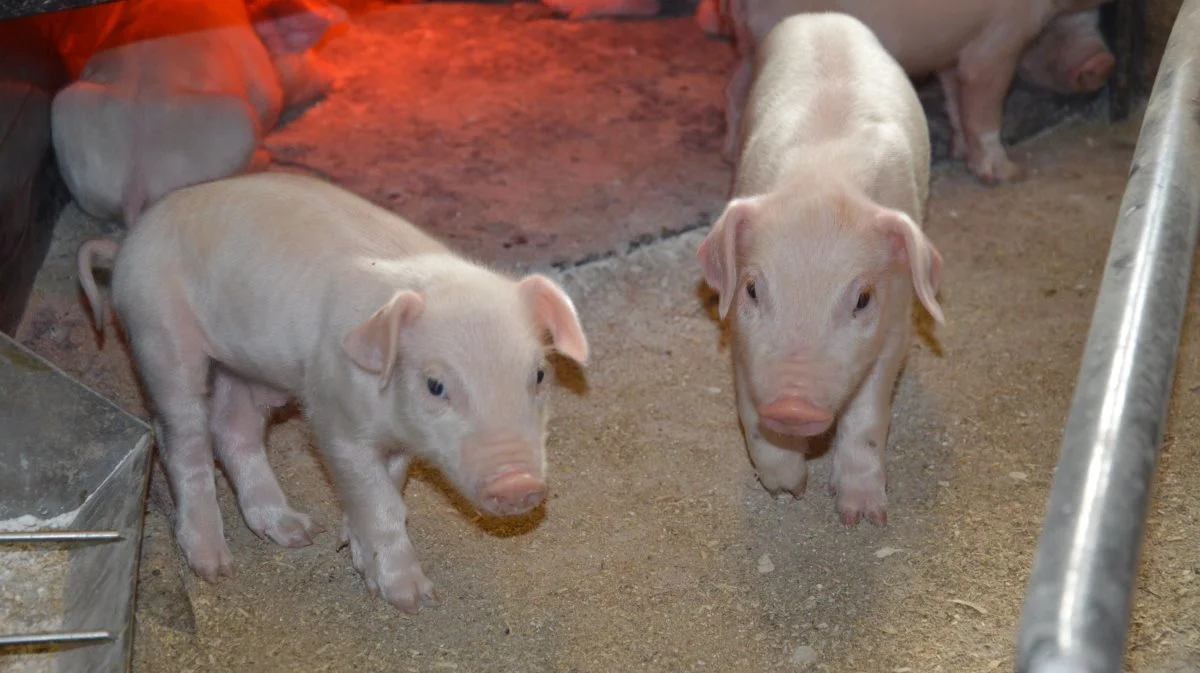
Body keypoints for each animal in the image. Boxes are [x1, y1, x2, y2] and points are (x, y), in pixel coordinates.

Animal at [38, 0, 348, 226]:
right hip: (240, 122)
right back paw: (266, 157)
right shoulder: (265, 89)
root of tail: (135, 182)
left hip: (69, 109)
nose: (335, 79)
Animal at [75, 170, 590, 611]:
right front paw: (412, 599)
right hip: (160, 336)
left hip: (251, 366)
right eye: (436, 385)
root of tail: (125, 245)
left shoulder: (395, 442)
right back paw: (216, 567)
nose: (519, 485)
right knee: (181, 438)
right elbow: (381, 503)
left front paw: (349, 547)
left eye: (538, 375)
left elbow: (391, 490)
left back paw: (297, 532)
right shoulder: (333, 420)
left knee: (233, 428)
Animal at [700, 11, 940, 525]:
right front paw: (789, 489)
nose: (793, 406)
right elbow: (751, 415)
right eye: (752, 290)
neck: (822, 181)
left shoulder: (896, 323)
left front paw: (862, 517)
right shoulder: (742, 342)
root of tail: (822, 15)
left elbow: (867, 416)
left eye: (863, 298)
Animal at [710, 0, 1113, 184]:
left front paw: (960, 151)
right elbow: (984, 103)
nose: (1104, 62)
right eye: (1056, 36)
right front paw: (1010, 174)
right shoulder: (999, 40)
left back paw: (730, 155)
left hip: (751, 48)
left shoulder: (951, 52)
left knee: (733, 91)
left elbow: (954, 99)